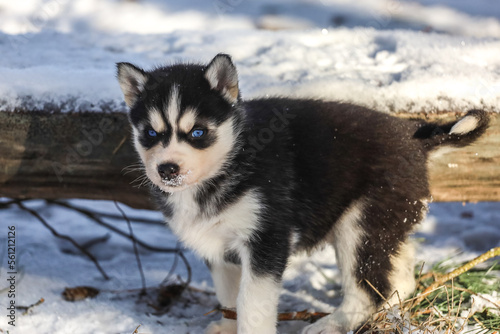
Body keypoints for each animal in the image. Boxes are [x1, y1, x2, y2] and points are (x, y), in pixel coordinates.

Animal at [116, 53, 488, 332]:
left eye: (197, 132)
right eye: (150, 133)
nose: (167, 169)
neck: (232, 160)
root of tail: (414, 138)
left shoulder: (267, 239)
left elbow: (251, 302)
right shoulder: (216, 245)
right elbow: (228, 296)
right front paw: (227, 326)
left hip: (360, 226)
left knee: (368, 289)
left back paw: (332, 324)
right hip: (387, 222)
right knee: (397, 277)